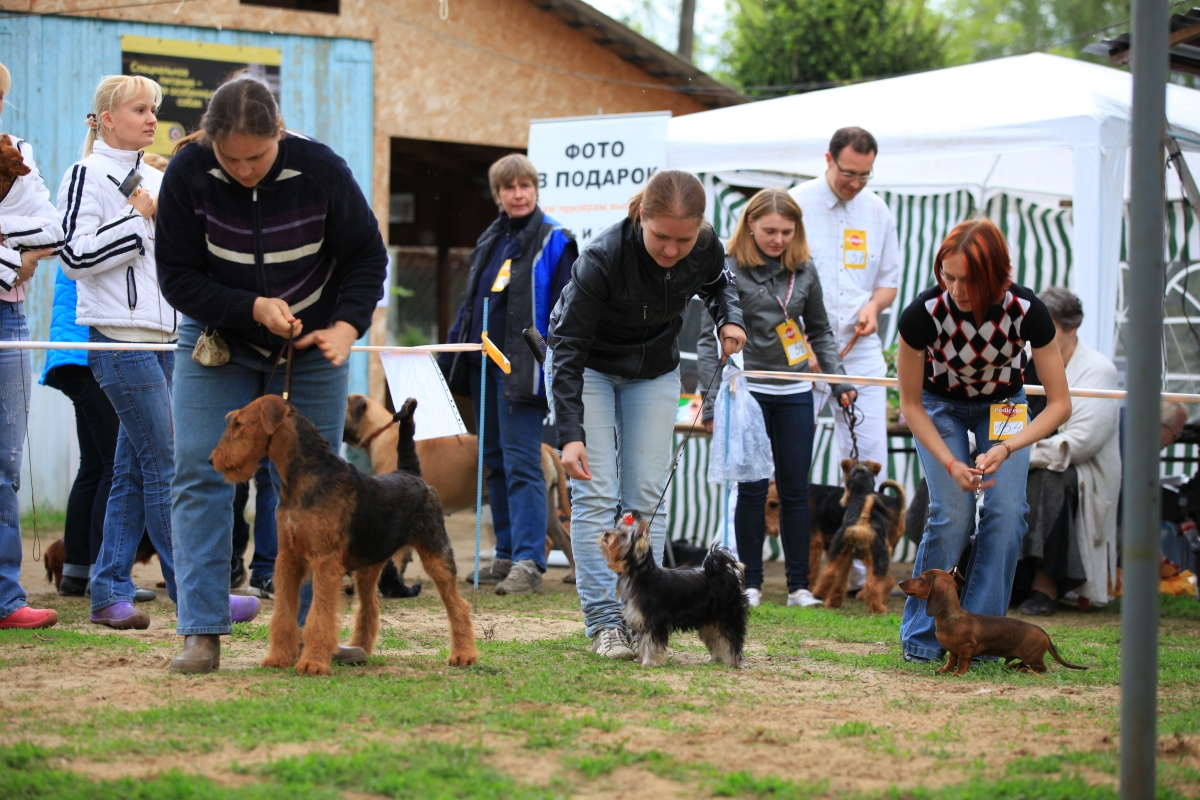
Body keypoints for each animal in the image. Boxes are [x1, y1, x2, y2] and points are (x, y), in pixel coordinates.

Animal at [211, 395, 477, 676]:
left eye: (238, 424)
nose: (212, 460)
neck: (305, 479)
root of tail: (410, 472)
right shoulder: (288, 559)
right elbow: (283, 613)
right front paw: (279, 658)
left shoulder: (325, 562)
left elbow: (319, 616)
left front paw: (313, 663)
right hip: (369, 565)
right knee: (370, 607)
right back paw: (360, 650)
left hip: (436, 554)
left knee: (458, 605)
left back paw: (463, 655)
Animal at [600, 513, 748, 671]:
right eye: (616, 528)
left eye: (622, 535)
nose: (606, 534)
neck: (641, 574)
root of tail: (724, 572)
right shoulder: (642, 619)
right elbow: (643, 641)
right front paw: (642, 659)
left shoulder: (654, 620)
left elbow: (650, 642)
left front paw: (649, 662)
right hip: (710, 619)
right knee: (717, 638)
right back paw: (717, 659)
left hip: (727, 615)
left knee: (732, 639)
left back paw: (735, 662)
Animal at [902, 568, 1089, 676]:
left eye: (920, 579)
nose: (901, 582)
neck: (951, 617)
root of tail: (1043, 632)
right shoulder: (953, 651)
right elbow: (950, 660)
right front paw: (944, 670)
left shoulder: (966, 648)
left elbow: (962, 661)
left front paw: (958, 674)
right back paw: (1015, 666)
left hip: (1032, 656)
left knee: (1041, 667)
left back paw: (1023, 670)